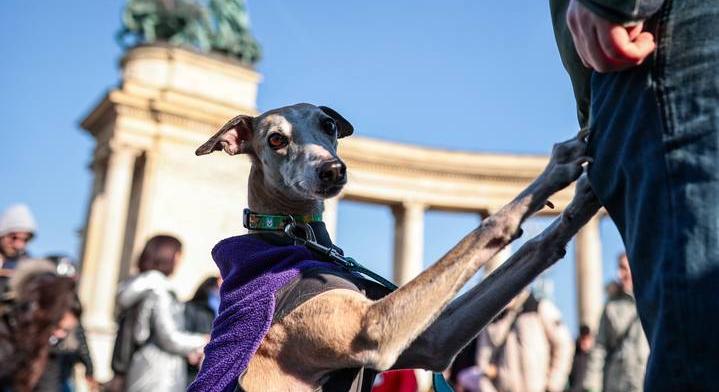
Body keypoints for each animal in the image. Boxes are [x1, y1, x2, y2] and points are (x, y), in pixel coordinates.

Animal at [193, 102, 600, 390]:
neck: (289, 233)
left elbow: (535, 247)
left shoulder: (434, 338)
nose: (332, 170)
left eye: (328, 125)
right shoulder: (374, 328)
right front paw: (553, 171)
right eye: (276, 139)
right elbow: (489, 225)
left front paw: (582, 202)